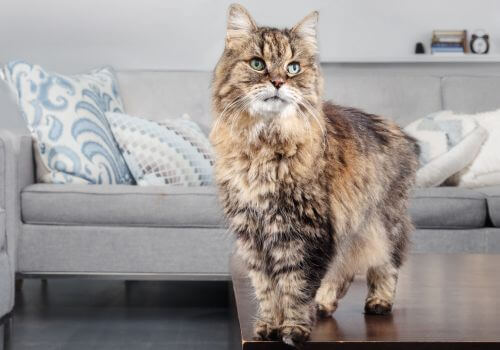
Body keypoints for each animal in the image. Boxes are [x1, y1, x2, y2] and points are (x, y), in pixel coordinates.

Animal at [209, 3, 420, 348]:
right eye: (258, 64)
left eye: (293, 68)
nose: (278, 82)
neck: (263, 148)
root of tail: (405, 135)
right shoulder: (253, 234)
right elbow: (267, 290)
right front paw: (269, 326)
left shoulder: (306, 231)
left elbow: (295, 287)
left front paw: (293, 330)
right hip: (351, 228)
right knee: (342, 270)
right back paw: (324, 304)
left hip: (382, 223)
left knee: (386, 264)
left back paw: (378, 302)